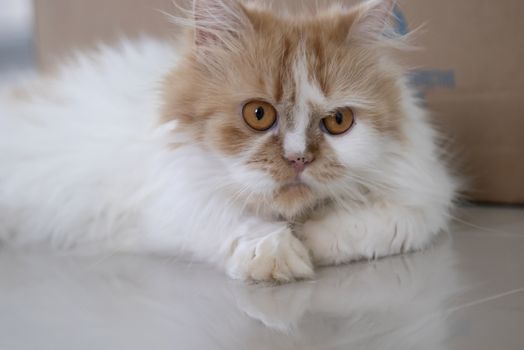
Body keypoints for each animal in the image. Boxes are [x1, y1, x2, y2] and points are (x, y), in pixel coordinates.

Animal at [0, 0, 458, 282]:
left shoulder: (425, 197)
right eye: (258, 115)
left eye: (338, 122)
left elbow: (380, 224)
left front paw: (312, 239)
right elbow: (235, 220)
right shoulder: (171, 200)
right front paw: (281, 253)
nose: (298, 159)